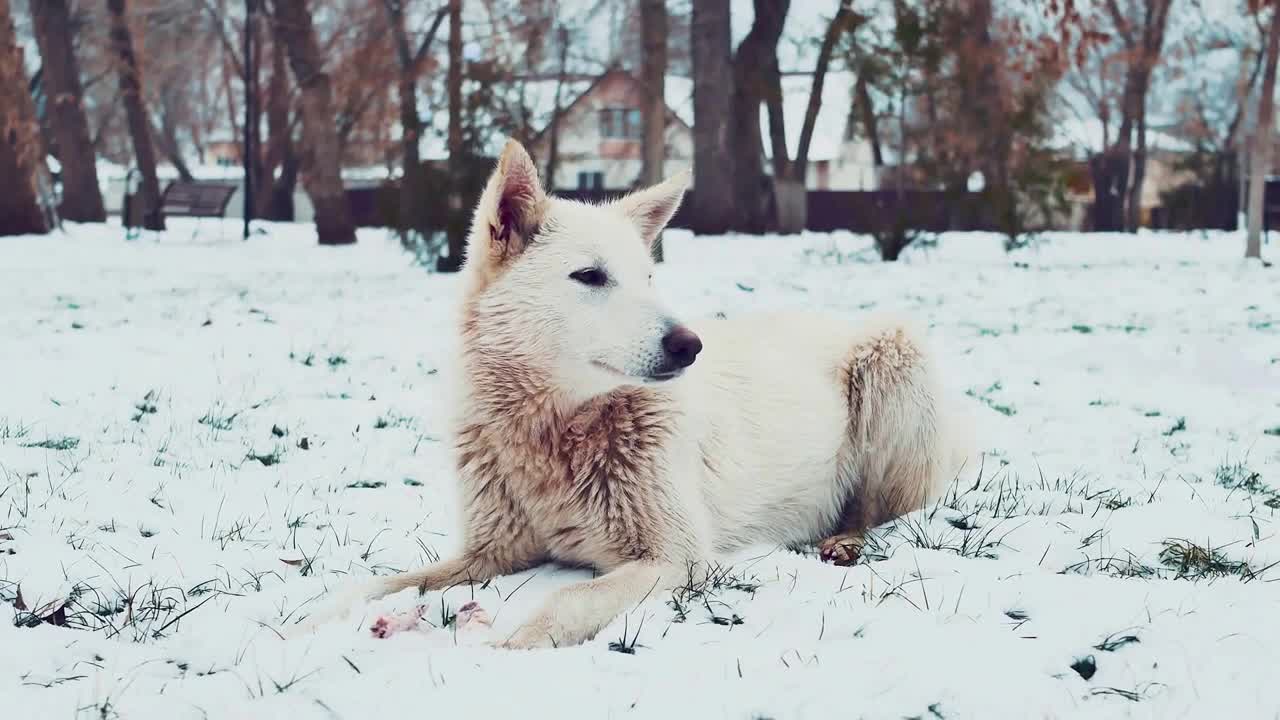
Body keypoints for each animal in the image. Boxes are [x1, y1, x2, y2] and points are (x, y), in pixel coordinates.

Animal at [312, 139, 967, 645]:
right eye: (590, 276)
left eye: (650, 278)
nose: (689, 344)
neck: (555, 432)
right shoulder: (488, 553)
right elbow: (377, 583)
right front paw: (304, 626)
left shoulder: (674, 558)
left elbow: (566, 601)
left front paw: (505, 651)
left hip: (892, 360)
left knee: (878, 512)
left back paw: (843, 542)